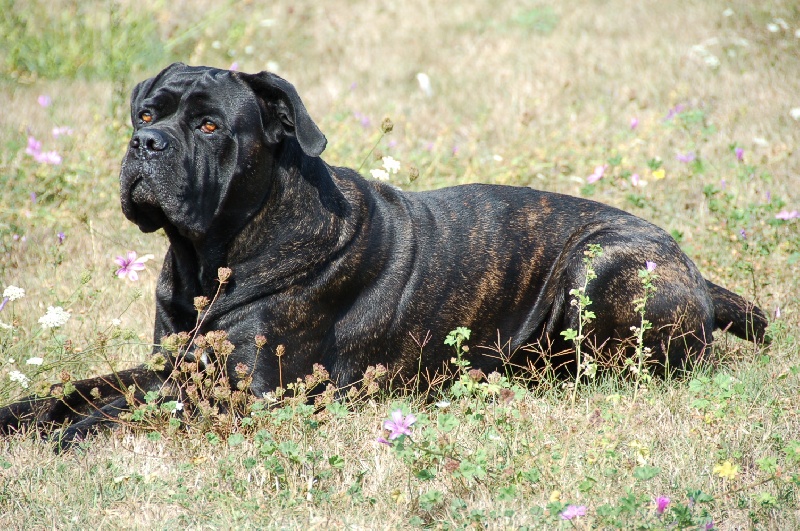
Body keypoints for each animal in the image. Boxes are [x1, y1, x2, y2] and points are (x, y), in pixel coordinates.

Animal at [0, 64, 764, 448]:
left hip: (599, 265)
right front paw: (23, 416)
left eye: (210, 125)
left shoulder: (247, 393)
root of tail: (697, 271)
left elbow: (126, 409)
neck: (210, 256)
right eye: (146, 114)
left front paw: (67, 438)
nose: (145, 145)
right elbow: (84, 388)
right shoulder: (172, 364)